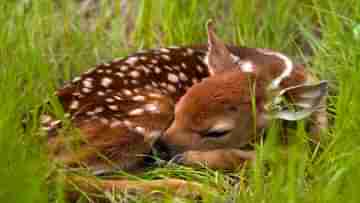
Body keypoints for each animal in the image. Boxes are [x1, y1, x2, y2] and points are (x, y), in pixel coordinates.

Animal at [43, 21, 328, 200]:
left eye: (217, 131)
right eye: (179, 107)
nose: (159, 149)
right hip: (146, 110)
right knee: (51, 175)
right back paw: (192, 189)